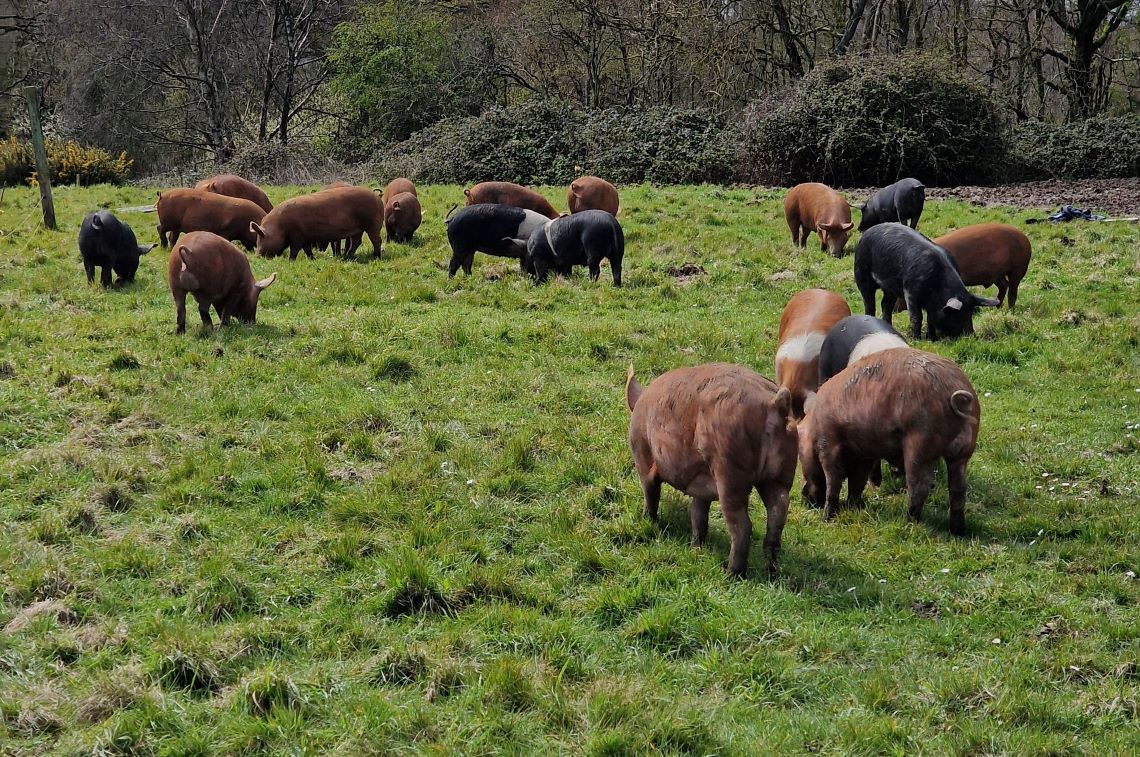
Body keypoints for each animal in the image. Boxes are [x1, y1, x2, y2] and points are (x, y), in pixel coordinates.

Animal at [253, 185, 385, 259]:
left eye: (261, 238)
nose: (257, 256)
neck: (279, 226)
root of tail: (377, 197)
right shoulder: (305, 236)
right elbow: (307, 249)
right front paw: (312, 259)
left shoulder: (297, 234)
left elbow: (295, 249)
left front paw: (291, 260)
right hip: (358, 229)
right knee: (356, 242)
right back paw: (347, 257)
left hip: (373, 224)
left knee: (377, 240)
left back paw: (376, 257)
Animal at [624, 364, 802, 576]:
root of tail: (775, 405)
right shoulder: (701, 486)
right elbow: (698, 514)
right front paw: (695, 548)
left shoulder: (642, 455)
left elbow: (650, 491)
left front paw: (646, 520)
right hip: (780, 474)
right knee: (778, 511)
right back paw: (771, 568)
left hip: (730, 470)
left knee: (743, 526)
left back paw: (731, 573)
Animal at [798, 346, 984, 535]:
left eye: (799, 456)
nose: (804, 498)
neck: (813, 425)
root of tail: (956, 394)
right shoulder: (864, 453)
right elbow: (857, 481)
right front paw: (853, 507)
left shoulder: (828, 442)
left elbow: (833, 480)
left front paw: (827, 519)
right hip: (962, 452)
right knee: (958, 490)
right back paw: (957, 531)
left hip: (919, 443)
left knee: (920, 486)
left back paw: (909, 521)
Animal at [857, 223, 998, 342]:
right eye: (958, 315)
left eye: (971, 314)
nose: (971, 336)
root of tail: (868, 231)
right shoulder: (910, 292)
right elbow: (916, 317)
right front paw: (916, 340)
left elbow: (930, 318)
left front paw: (932, 339)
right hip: (861, 272)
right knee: (869, 302)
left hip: (890, 287)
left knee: (886, 304)